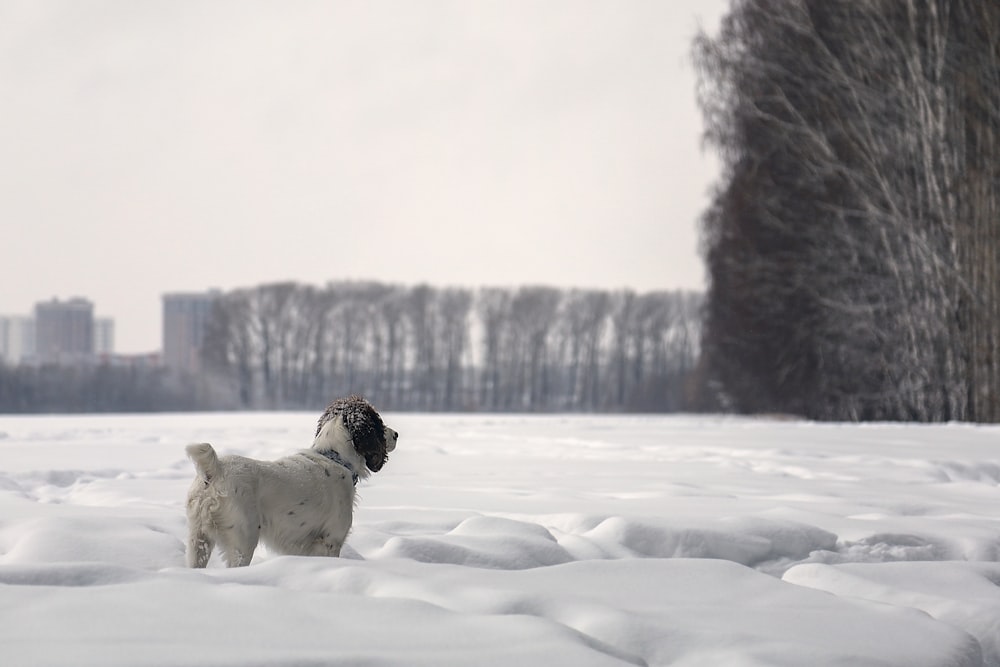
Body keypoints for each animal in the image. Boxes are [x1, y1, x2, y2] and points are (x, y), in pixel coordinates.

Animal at [186, 396, 396, 568]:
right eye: (378, 419)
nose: (396, 434)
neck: (334, 457)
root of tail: (216, 469)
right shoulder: (330, 541)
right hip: (242, 542)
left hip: (199, 540)